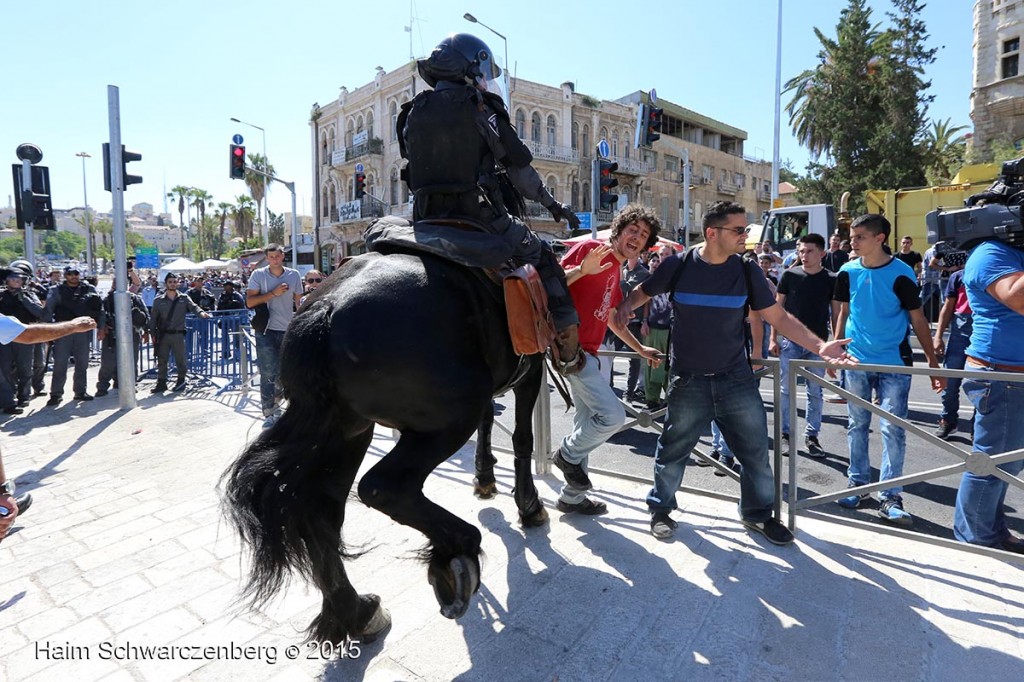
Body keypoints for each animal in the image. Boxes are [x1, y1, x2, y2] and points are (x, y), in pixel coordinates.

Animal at [220, 248, 548, 643]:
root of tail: (326, 305)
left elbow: (491, 422)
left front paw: (484, 478)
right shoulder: (532, 368)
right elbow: (522, 436)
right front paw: (529, 504)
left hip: (346, 429)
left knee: (318, 510)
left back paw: (356, 612)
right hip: (450, 417)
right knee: (383, 488)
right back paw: (457, 550)